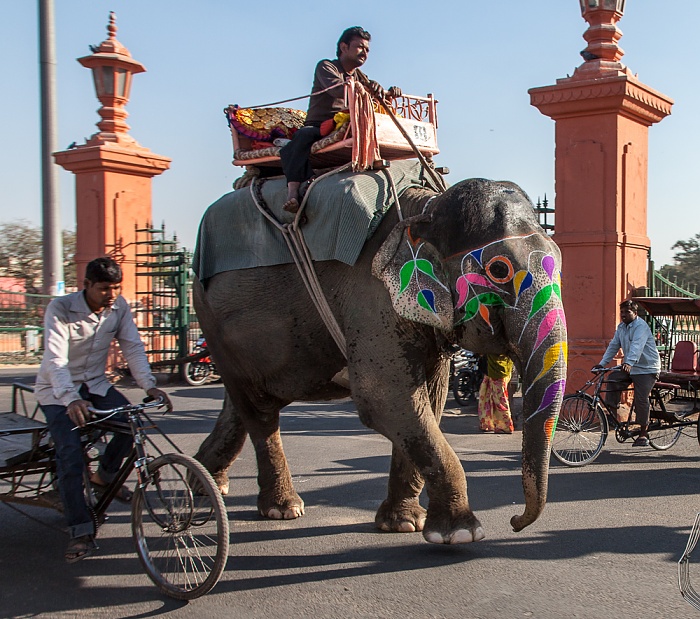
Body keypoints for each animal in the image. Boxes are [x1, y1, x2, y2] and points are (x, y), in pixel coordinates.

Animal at [194, 177, 568, 544]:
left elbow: (429, 399)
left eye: (559, 261)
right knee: (259, 410)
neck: (425, 208)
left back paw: (207, 484)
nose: (515, 522)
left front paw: (404, 523)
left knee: (239, 404)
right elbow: (385, 398)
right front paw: (460, 533)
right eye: (499, 269)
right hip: (217, 325)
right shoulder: (373, 299)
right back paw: (282, 508)